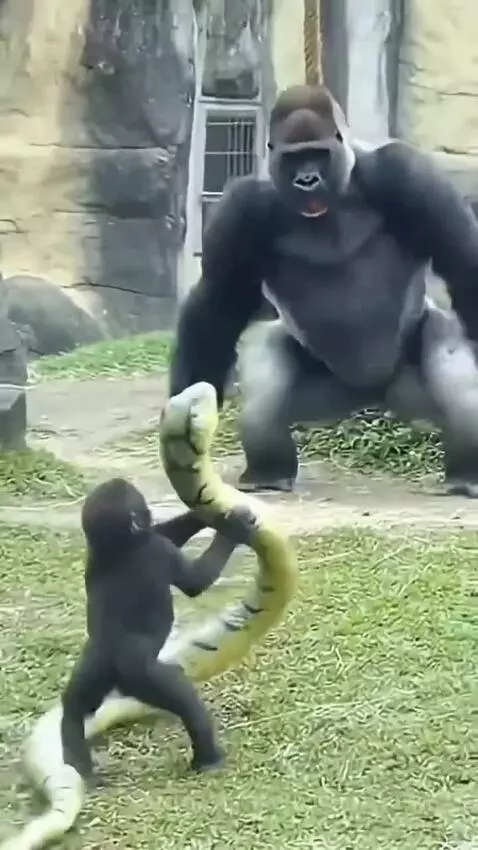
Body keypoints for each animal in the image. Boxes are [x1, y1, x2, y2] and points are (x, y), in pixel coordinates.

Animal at [60, 477, 257, 780]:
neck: (116, 546)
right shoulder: (157, 549)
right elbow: (195, 580)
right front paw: (234, 528)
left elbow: (168, 532)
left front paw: (201, 514)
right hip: (144, 678)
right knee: (185, 699)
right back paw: (208, 758)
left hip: (93, 668)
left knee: (73, 707)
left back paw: (80, 770)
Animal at [169, 83, 478, 499]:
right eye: (294, 159)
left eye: (317, 154)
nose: (306, 181)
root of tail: (373, 397)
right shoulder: (242, 207)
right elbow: (218, 304)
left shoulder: (407, 173)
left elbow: (464, 264)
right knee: (266, 383)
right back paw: (268, 472)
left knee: (454, 373)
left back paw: (467, 474)